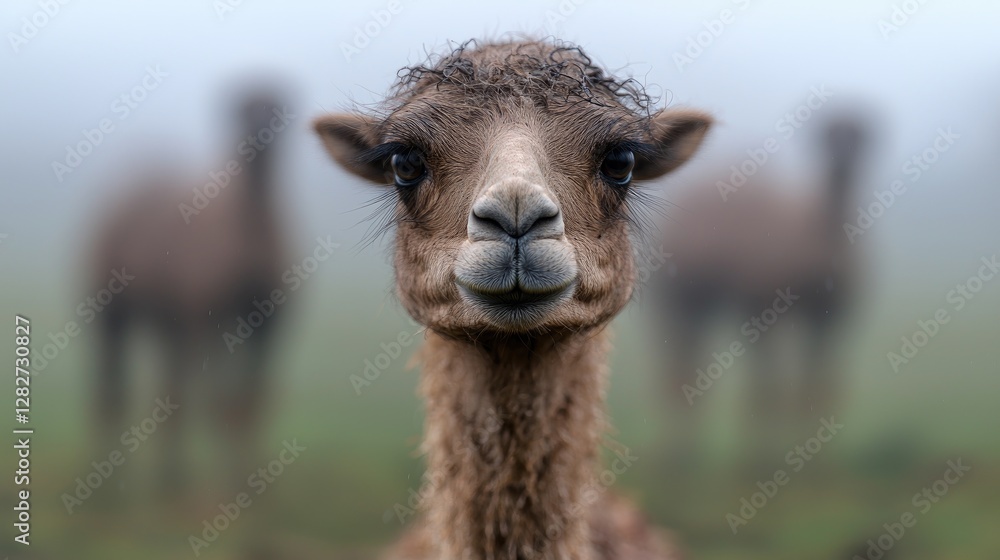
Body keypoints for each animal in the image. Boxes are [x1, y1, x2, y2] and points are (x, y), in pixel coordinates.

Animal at [90, 88, 291, 492]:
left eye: (276, 107)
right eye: (243, 110)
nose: (260, 131)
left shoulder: (266, 323)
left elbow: (249, 400)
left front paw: (250, 480)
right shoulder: (208, 317)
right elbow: (220, 401)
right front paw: (226, 483)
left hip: (169, 323)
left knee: (168, 391)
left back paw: (168, 475)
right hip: (111, 308)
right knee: (112, 388)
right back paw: (110, 480)